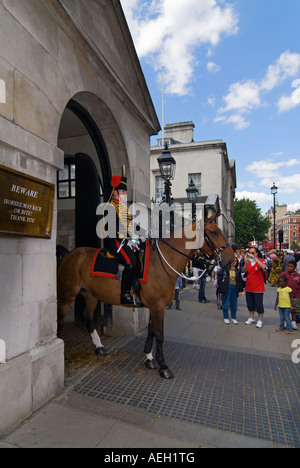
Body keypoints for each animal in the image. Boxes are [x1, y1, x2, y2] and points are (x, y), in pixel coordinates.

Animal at [56, 214, 234, 378]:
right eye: (214, 232)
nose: (231, 260)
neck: (162, 263)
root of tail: (70, 253)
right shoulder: (157, 307)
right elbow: (160, 335)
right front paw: (164, 366)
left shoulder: (154, 307)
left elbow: (151, 331)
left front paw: (149, 358)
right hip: (67, 294)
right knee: (60, 318)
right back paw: (62, 354)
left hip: (91, 295)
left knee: (88, 317)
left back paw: (99, 347)